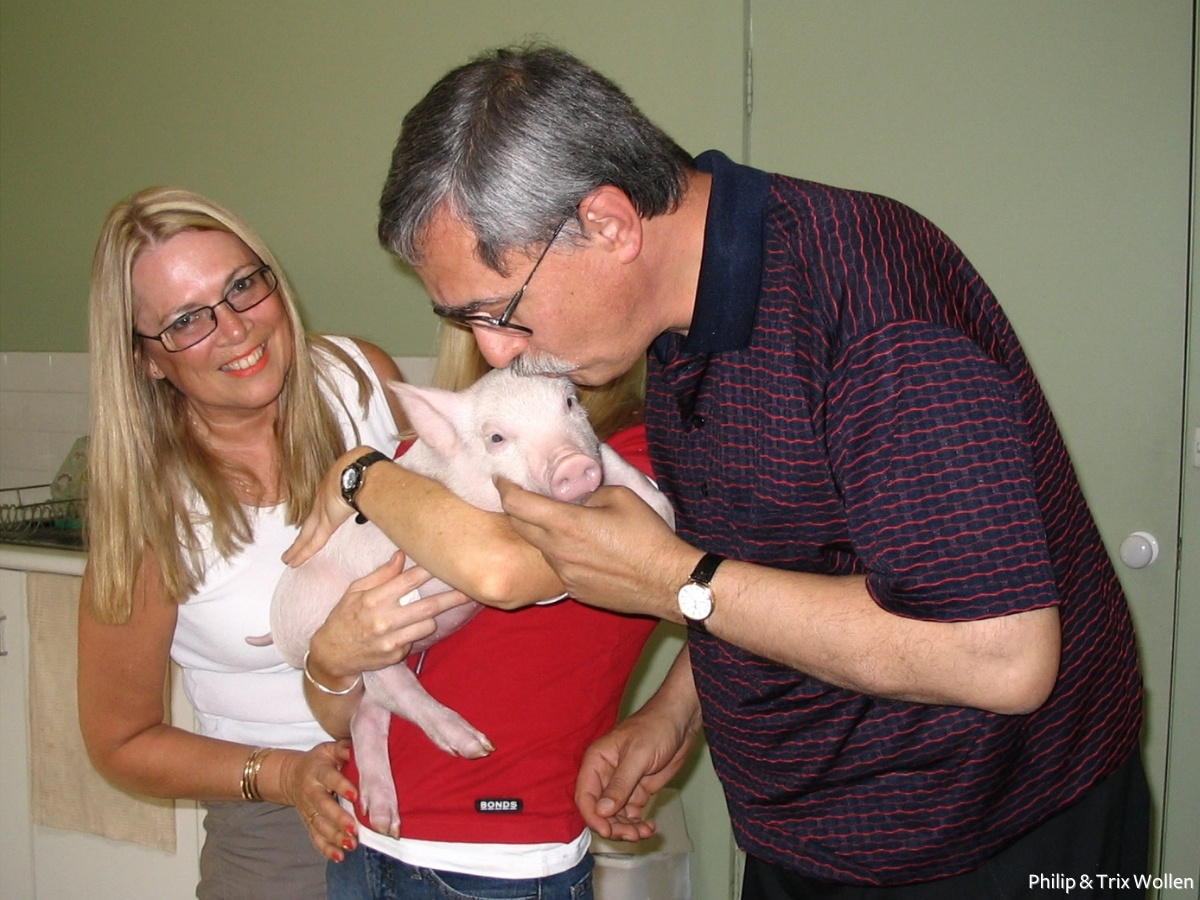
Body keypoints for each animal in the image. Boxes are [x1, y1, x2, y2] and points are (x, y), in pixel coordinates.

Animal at [254, 367, 674, 836]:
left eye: (568, 403)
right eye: (496, 437)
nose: (573, 465)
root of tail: (279, 632)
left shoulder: (597, 448)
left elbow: (614, 460)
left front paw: (662, 511)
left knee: (371, 710)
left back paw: (385, 819)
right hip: (348, 624)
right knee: (385, 684)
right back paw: (473, 746)